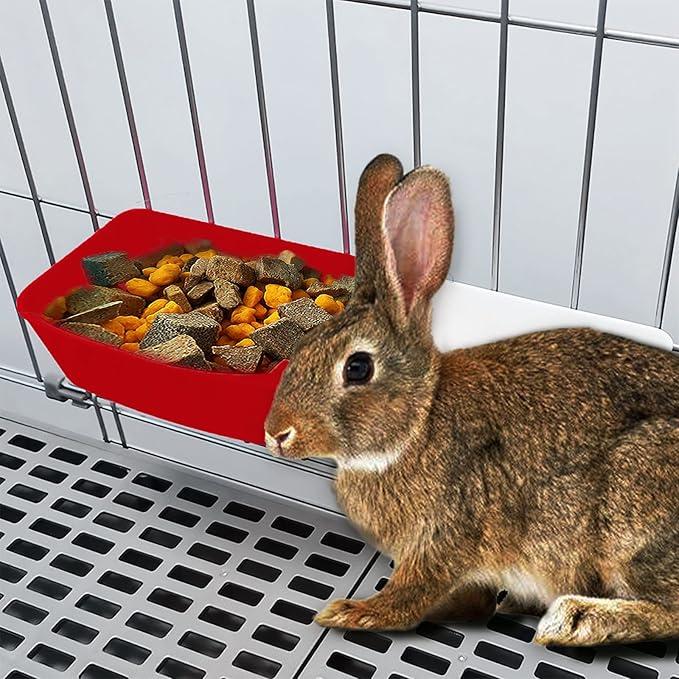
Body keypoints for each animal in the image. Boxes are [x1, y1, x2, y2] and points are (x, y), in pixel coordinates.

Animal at [264, 153, 679, 647]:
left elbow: (411, 591)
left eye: (358, 367)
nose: (276, 433)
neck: (419, 423)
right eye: (303, 345)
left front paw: (351, 612)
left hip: (631, 512)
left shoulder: (446, 534)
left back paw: (575, 620)